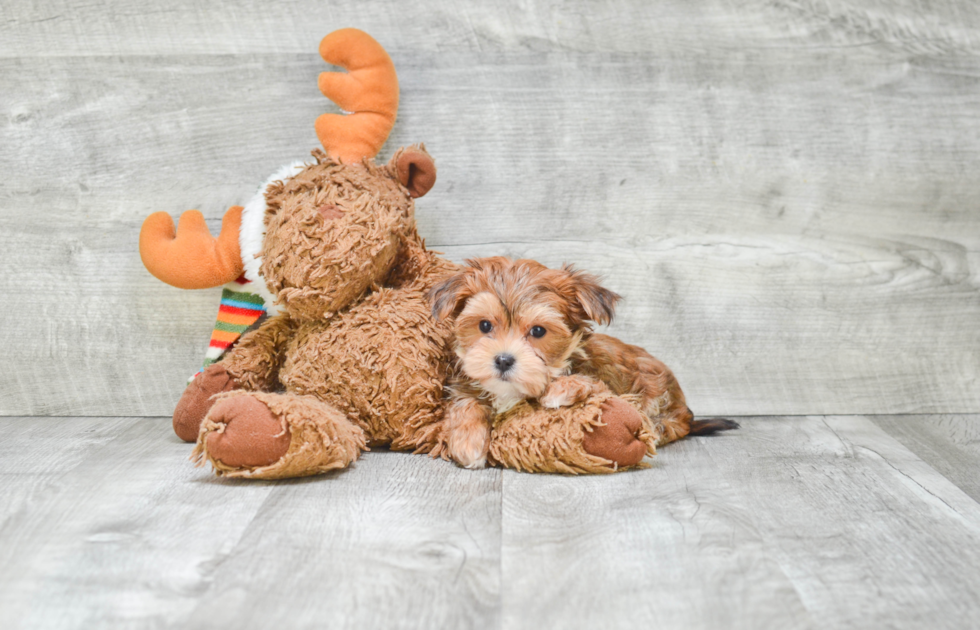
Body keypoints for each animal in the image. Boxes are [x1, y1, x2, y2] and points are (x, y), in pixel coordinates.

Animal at [426, 256, 736, 470]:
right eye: (485, 325)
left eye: (538, 331)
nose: (503, 360)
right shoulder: (463, 384)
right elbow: (466, 402)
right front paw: (468, 442)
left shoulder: (608, 383)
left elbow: (589, 383)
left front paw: (558, 389)